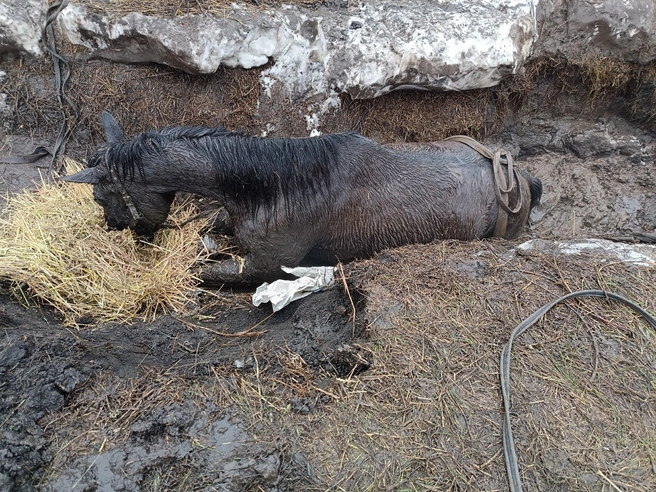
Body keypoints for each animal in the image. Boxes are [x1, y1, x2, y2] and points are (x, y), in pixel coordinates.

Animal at [64, 112, 540, 286]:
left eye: (100, 195)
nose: (118, 229)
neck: (277, 186)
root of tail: (522, 180)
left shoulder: (262, 267)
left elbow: (203, 271)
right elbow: (209, 232)